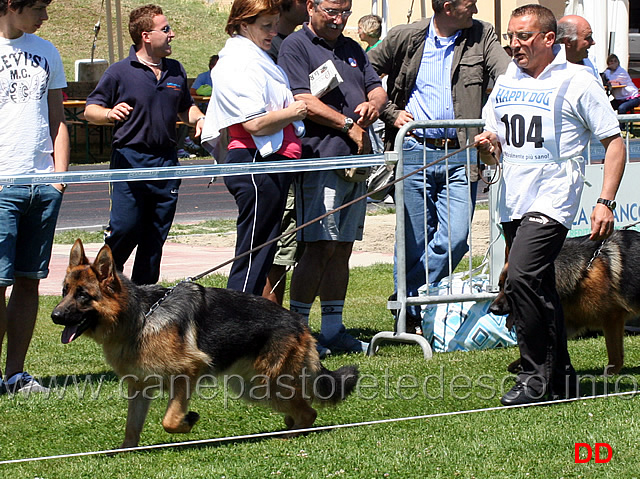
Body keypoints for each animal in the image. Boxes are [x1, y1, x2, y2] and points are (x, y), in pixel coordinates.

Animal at [50, 242, 360, 448]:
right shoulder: (139, 388)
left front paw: (188, 421)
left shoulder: (188, 372)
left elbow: (169, 420)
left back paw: (290, 435)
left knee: (309, 411)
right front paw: (126, 453)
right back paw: (288, 426)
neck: (140, 317)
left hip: (265, 384)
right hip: (251, 388)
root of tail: (300, 324)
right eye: (65, 291)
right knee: (301, 407)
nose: (54, 316)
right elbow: (131, 428)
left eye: (83, 295)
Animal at [490, 231, 640, 376]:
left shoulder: (612, 317)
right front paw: (521, 364)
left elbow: (614, 351)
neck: (583, 273)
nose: (492, 309)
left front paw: (611, 372)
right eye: (500, 286)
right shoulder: (571, 322)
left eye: (511, 288)